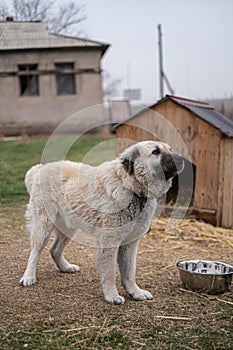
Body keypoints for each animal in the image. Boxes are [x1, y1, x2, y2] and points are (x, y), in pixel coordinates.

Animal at [20, 139, 184, 304]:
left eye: (170, 149)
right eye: (155, 152)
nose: (182, 159)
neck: (130, 187)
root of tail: (39, 169)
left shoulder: (130, 243)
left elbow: (129, 272)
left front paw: (135, 292)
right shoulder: (109, 242)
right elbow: (110, 273)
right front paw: (112, 295)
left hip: (68, 228)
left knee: (54, 250)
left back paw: (65, 267)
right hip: (43, 226)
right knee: (35, 252)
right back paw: (28, 277)